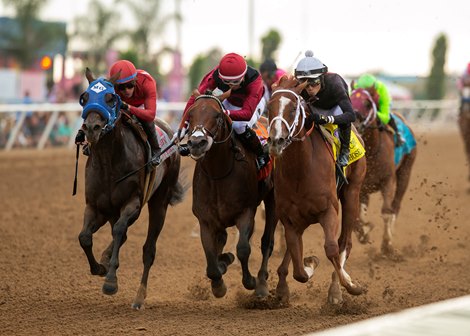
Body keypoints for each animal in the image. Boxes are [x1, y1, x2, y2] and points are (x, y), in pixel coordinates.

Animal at [76, 69, 184, 310]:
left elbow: (118, 231)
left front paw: (110, 281)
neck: (108, 163)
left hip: (159, 203)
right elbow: (85, 237)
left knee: (148, 250)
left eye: (110, 98)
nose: (91, 129)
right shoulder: (94, 206)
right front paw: (100, 267)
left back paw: (139, 297)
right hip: (112, 211)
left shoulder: (133, 203)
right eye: (85, 97)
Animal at [181, 90, 278, 298]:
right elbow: (210, 257)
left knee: (267, 241)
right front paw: (218, 281)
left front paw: (249, 281)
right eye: (190, 115)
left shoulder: (246, 212)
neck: (219, 173)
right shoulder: (206, 220)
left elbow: (243, 248)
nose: (197, 143)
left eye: (218, 115)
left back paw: (261, 283)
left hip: (273, 198)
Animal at [266, 77, 366, 306]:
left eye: (294, 108)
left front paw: (349, 287)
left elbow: (331, 249)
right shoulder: (289, 218)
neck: (300, 171)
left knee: (344, 243)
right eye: (269, 107)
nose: (276, 141)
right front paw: (309, 263)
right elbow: (298, 267)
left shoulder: (329, 211)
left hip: (352, 193)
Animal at [348, 88, 418, 256]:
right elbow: (357, 215)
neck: (371, 151)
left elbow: (387, 211)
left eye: (368, 103)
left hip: (406, 171)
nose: (355, 120)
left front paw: (387, 245)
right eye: (349, 99)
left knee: (396, 206)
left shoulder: (388, 180)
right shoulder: (361, 186)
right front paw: (364, 232)